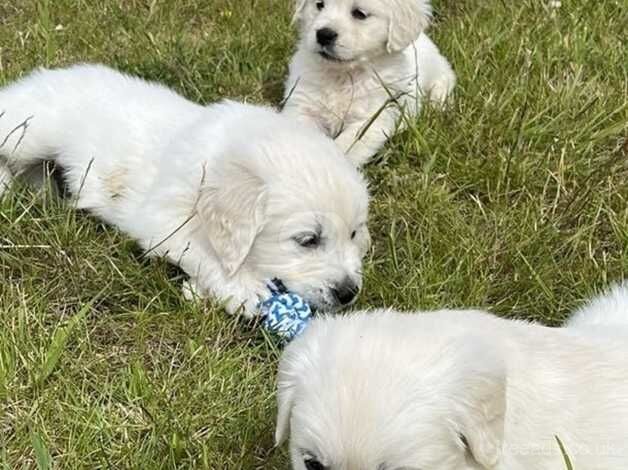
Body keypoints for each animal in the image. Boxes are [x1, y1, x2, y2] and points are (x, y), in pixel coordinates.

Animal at [0, 63, 370, 316]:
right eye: (308, 240)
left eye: (354, 234)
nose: (349, 293)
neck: (222, 157)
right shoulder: (163, 218)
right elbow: (202, 251)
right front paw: (243, 288)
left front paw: (199, 293)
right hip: (31, 130)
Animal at [284, 0, 456, 167]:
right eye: (319, 5)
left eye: (360, 14)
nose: (324, 34)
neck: (342, 75)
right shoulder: (301, 106)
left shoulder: (374, 117)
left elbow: (345, 145)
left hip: (440, 73)